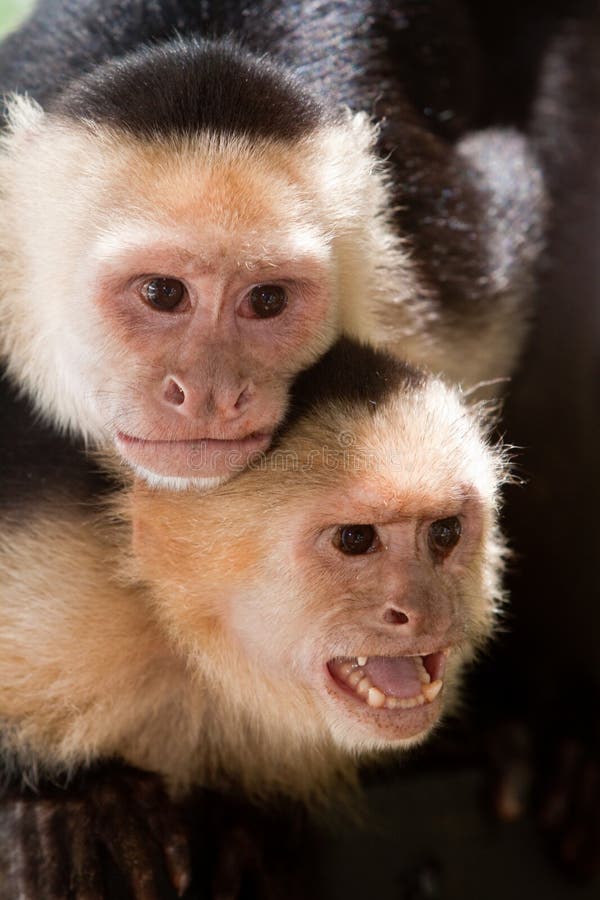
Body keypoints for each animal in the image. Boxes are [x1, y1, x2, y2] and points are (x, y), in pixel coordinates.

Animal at [0, 340, 506, 900]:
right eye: (355, 539)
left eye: (444, 532)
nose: (425, 610)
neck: (194, 645)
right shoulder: (62, 593)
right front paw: (76, 805)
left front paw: (249, 833)